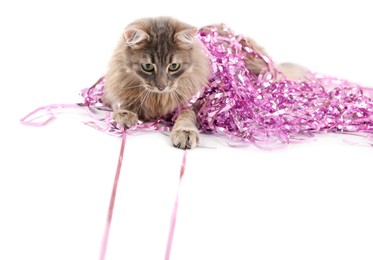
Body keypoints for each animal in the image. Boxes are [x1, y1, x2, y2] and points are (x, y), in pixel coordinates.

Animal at [102, 16, 306, 148]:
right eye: (147, 67)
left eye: (174, 66)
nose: (162, 86)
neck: (158, 99)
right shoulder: (117, 87)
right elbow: (123, 100)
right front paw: (124, 114)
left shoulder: (194, 102)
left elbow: (186, 117)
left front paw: (184, 133)